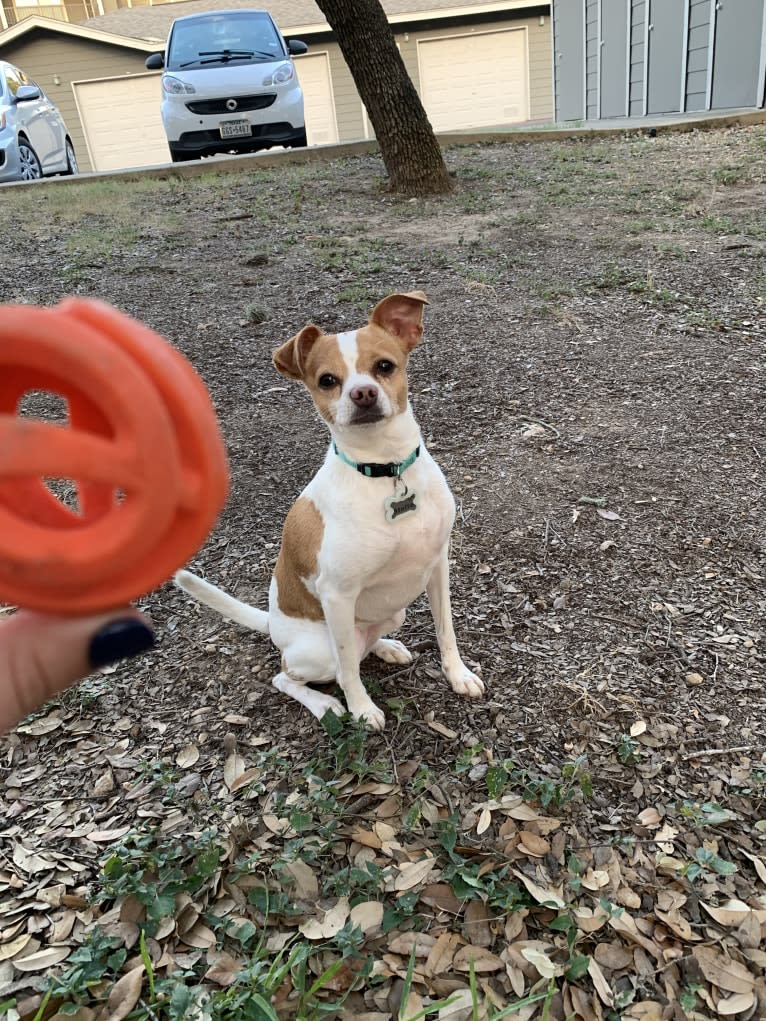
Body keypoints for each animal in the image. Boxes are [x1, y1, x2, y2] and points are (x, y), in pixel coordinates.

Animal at [176, 292, 482, 731]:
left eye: (384, 366)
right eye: (327, 380)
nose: (363, 394)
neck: (385, 470)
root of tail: (273, 625)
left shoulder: (437, 565)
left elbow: (446, 631)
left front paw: (458, 675)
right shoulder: (338, 596)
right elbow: (349, 671)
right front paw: (362, 709)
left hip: (394, 612)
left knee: (361, 648)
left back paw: (386, 646)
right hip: (317, 647)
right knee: (295, 674)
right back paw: (325, 705)